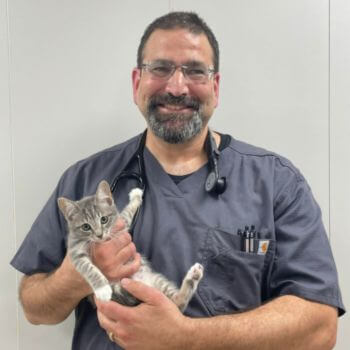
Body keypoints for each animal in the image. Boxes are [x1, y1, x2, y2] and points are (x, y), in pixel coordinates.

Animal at [57, 180, 204, 312]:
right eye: (86, 227)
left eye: (104, 219)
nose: (99, 235)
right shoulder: (75, 251)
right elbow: (88, 268)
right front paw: (102, 289)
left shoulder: (121, 223)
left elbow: (127, 212)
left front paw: (136, 197)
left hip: (157, 282)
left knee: (178, 304)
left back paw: (193, 276)